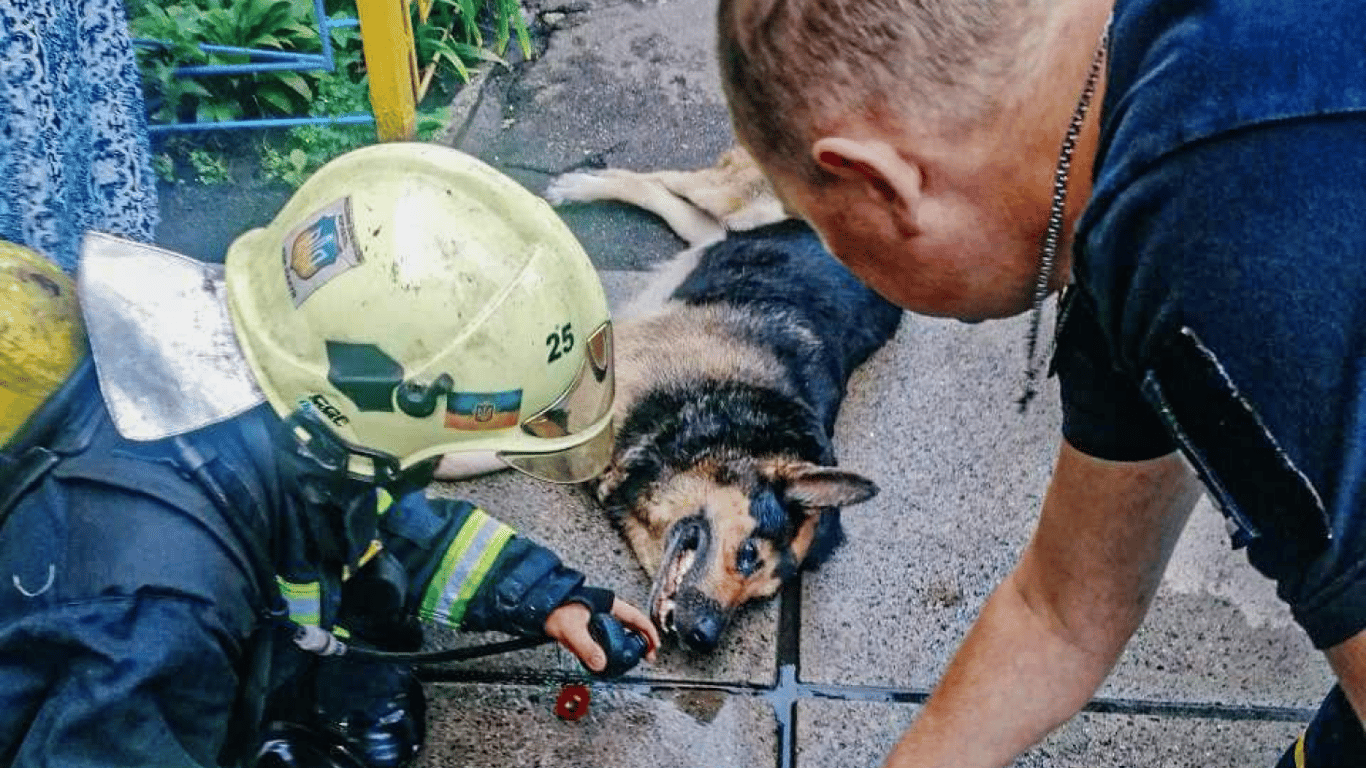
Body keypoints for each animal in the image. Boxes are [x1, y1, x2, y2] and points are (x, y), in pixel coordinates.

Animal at [543, 151, 907, 650]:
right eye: (749, 553)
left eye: (761, 597)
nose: (705, 638)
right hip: (734, 196)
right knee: (661, 180)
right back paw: (579, 185)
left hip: (721, 228)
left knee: (673, 205)